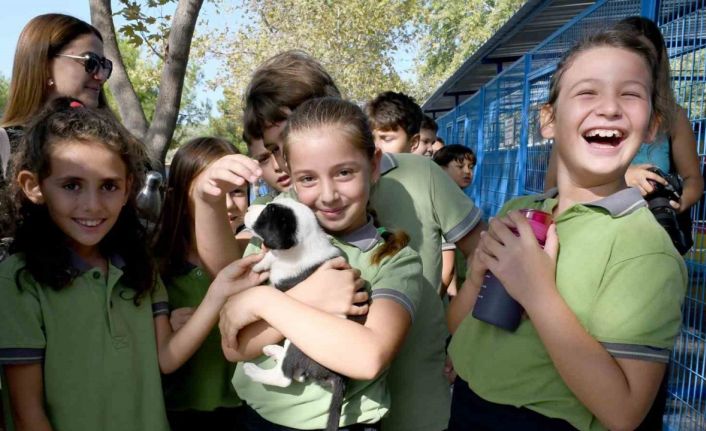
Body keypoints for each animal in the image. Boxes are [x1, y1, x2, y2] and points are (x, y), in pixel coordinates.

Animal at [245, 198, 350, 431]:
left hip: (299, 341)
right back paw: (274, 350)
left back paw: (253, 371)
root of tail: (338, 377)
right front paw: (259, 264)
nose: (247, 208)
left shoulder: (284, 286)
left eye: (265, 214)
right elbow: (270, 256)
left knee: (285, 377)